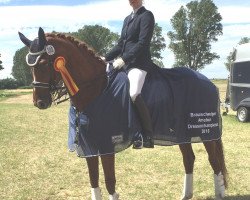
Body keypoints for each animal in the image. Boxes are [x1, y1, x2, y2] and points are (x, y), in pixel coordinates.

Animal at [18, 27, 228, 200]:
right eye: (30, 65)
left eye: (44, 62)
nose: (40, 102)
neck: (96, 90)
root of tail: (208, 82)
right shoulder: (89, 145)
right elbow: (93, 180)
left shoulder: (108, 144)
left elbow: (110, 181)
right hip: (182, 133)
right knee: (189, 159)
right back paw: (186, 195)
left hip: (206, 132)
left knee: (214, 161)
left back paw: (219, 194)